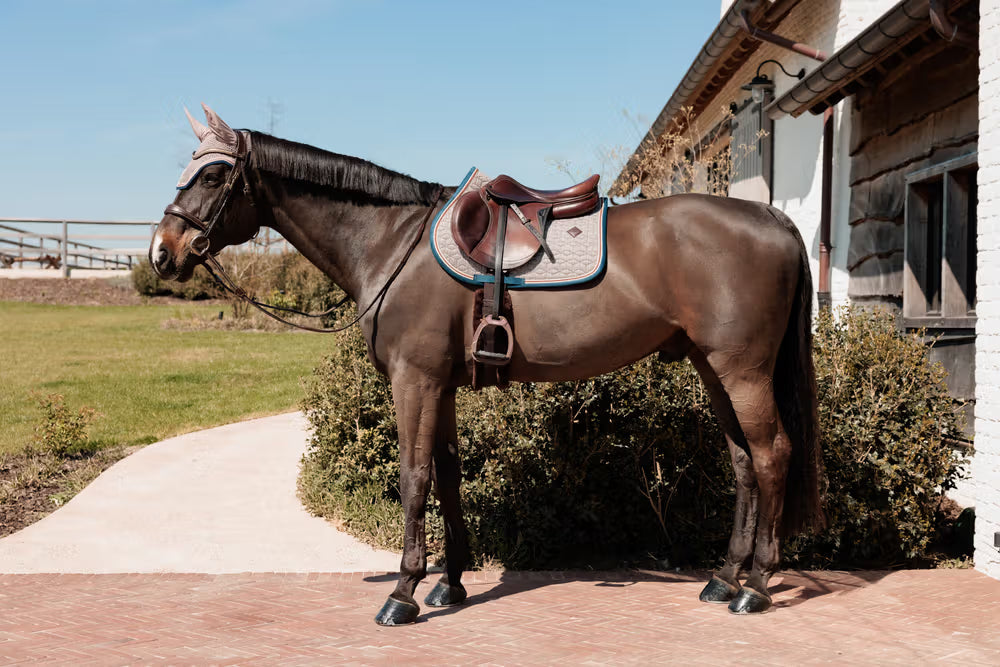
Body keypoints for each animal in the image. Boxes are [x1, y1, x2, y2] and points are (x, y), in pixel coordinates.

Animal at [150, 105, 824, 625]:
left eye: (213, 174)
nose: (163, 252)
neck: (393, 243)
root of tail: (774, 217)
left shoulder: (415, 381)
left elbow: (414, 478)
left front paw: (403, 593)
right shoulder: (441, 385)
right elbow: (447, 475)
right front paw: (449, 583)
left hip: (742, 372)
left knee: (771, 455)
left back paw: (756, 587)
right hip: (713, 369)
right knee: (742, 461)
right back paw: (724, 577)